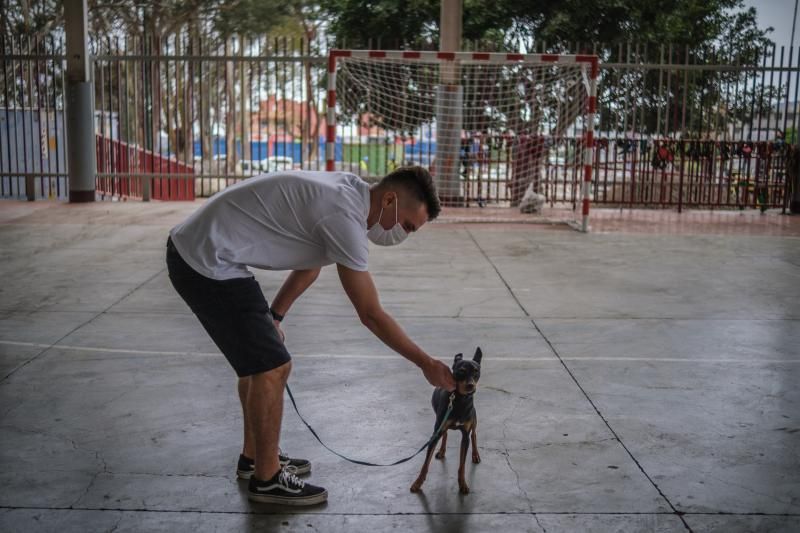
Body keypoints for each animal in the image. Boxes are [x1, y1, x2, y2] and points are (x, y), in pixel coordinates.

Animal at [412, 348, 482, 492]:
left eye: (476, 371)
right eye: (461, 371)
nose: (470, 386)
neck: (460, 400)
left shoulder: (465, 436)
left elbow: (462, 465)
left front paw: (463, 484)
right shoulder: (435, 433)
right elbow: (425, 463)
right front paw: (417, 483)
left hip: (474, 419)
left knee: (474, 434)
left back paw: (475, 455)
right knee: (445, 433)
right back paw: (442, 451)